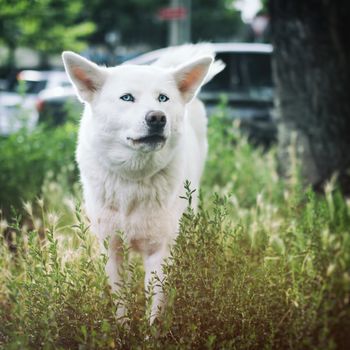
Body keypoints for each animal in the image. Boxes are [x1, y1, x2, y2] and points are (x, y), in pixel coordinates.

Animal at [62, 43, 224, 322]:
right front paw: (124, 329)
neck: (133, 180)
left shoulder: (160, 251)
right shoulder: (112, 249)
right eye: (127, 98)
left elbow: (155, 308)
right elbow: (121, 303)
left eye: (163, 98)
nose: (157, 118)